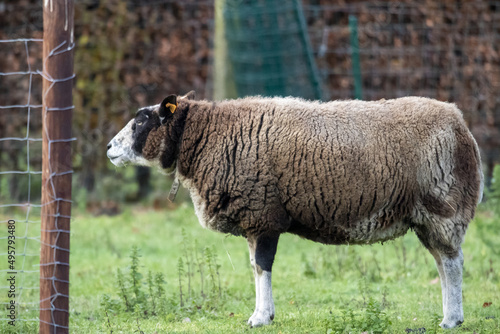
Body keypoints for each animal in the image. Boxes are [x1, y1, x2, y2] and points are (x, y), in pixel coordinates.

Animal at [106, 94, 484, 328]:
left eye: (142, 122)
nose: (109, 148)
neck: (208, 137)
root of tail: (461, 125)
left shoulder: (263, 215)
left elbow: (262, 267)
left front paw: (260, 318)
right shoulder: (255, 219)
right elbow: (255, 267)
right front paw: (264, 314)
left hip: (443, 207)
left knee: (452, 264)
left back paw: (452, 320)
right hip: (425, 217)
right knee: (443, 263)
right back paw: (451, 315)